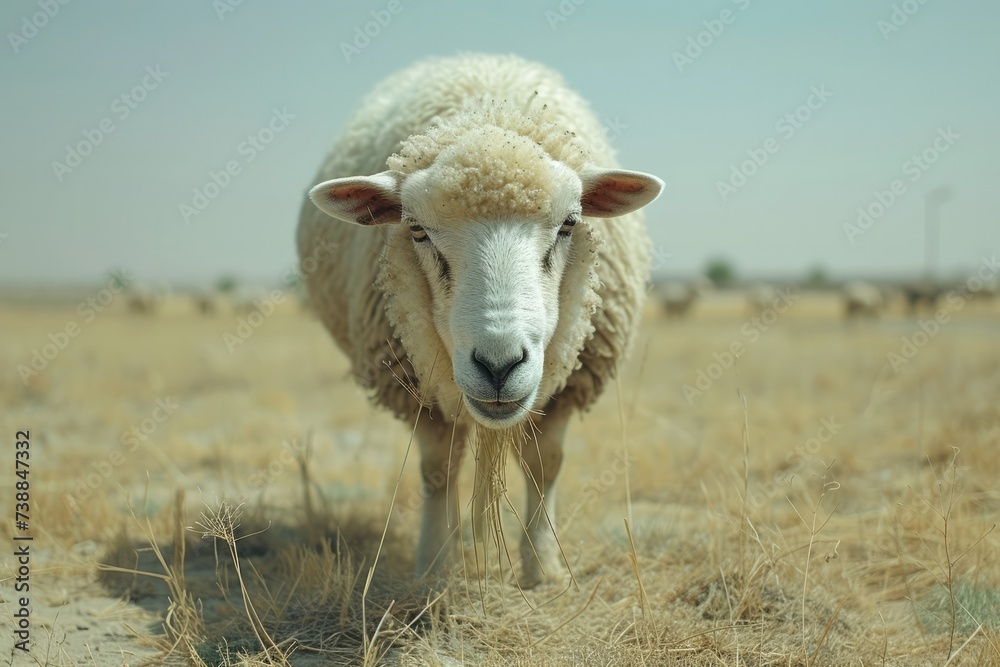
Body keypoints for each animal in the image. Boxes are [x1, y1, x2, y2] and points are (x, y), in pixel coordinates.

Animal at [297, 54, 663, 587]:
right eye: (416, 229)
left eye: (569, 223)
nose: (499, 366)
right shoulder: (419, 386)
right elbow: (438, 469)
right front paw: (434, 567)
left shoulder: (565, 385)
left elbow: (545, 465)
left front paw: (543, 568)